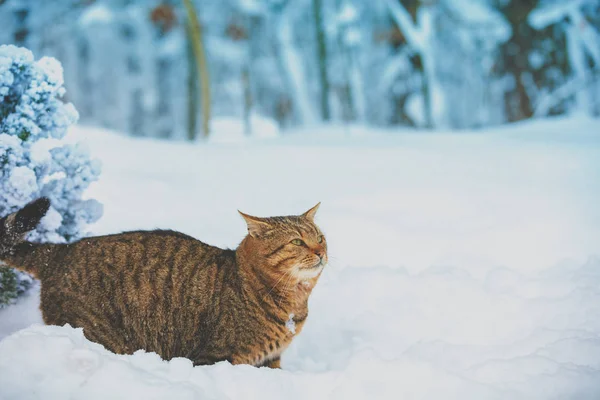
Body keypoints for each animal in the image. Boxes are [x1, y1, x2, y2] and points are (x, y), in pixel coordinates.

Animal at [0, 198, 328, 370]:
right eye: (297, 242)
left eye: (320, 237)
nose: (321, 252)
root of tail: (62, 250)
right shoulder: (215, 357)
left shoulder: (271, 360)